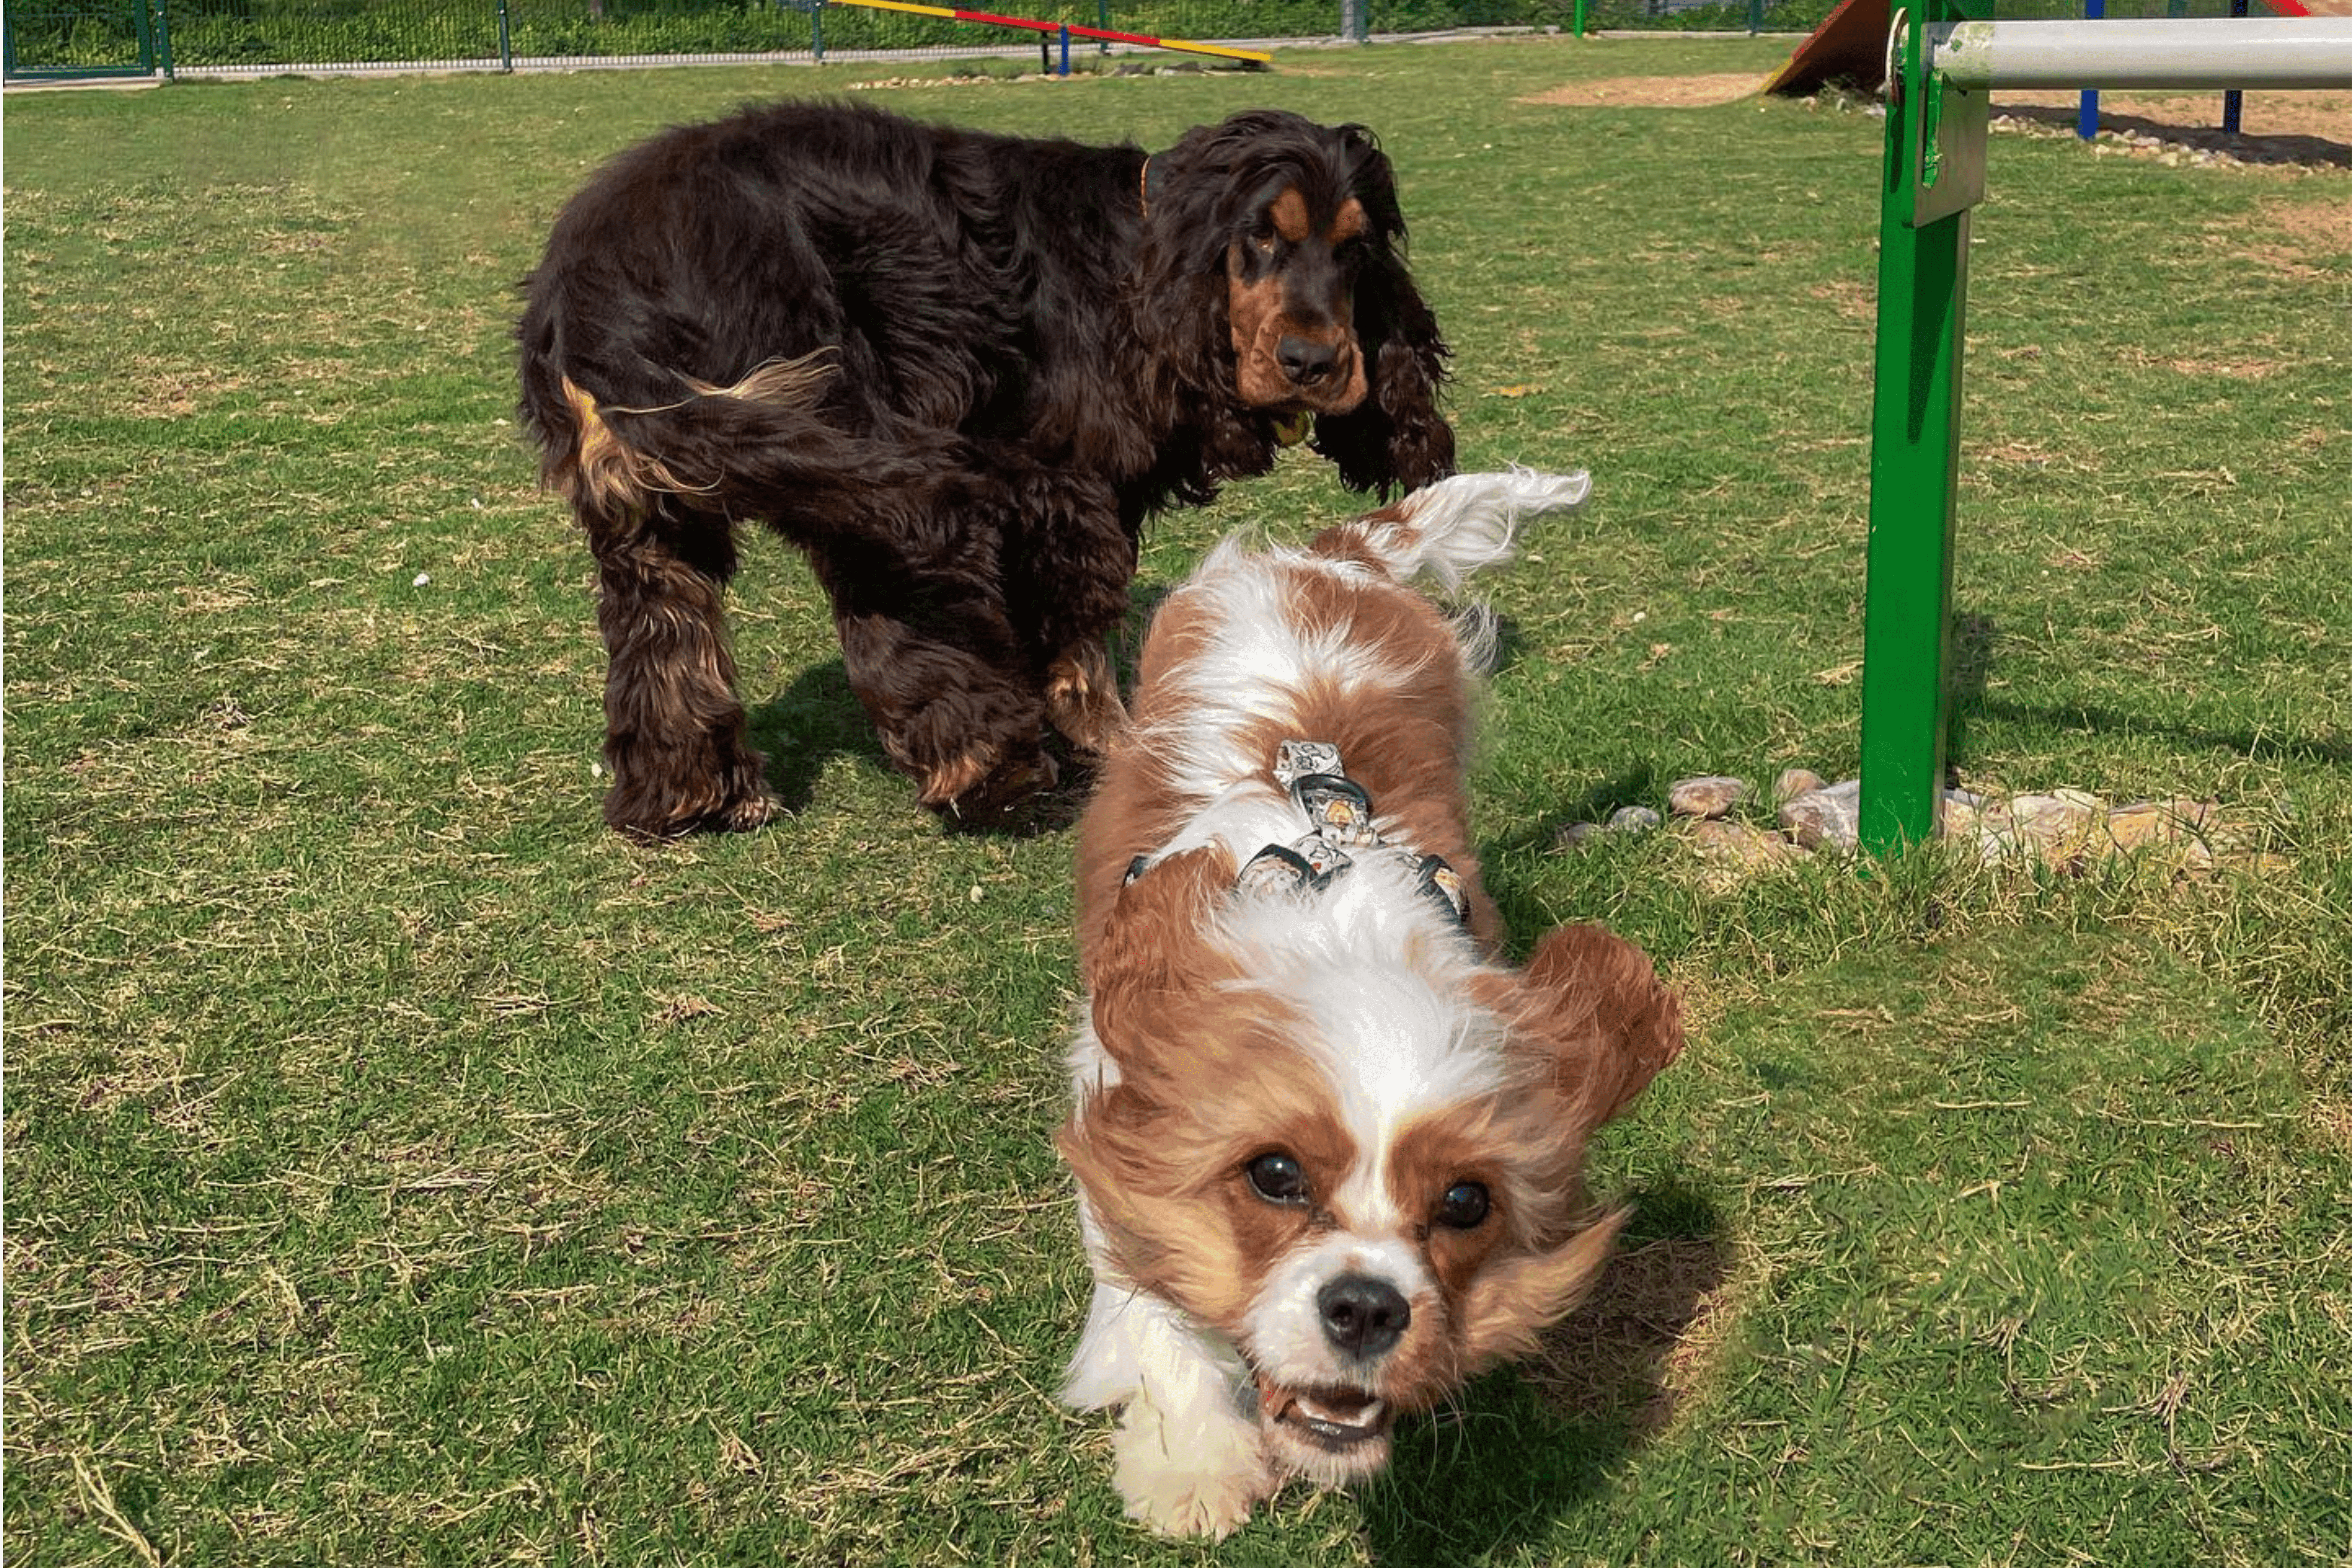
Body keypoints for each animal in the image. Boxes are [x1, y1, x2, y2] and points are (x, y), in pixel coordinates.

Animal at [1058, 470, 1684, 1542]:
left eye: (1464, 1202)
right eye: (1272, 1175)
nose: (1366, 1306)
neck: (1331, 915)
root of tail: (1326, 557)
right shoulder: (1120, 1081)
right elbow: (1147, 1290)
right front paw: (1194, 1462)